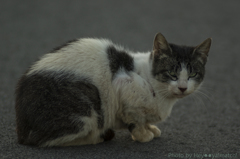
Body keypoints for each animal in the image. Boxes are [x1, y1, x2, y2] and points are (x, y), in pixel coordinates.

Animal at [15, 32, 211, 147]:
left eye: (193, 74)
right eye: (172, 73)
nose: (182, 87)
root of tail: (21, 129)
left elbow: (144, 119)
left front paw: (150, 128)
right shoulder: (124, 85)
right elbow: (134, 119)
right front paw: (142, 134)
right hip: (86, 106)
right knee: (47, 140)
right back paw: (97, 137)